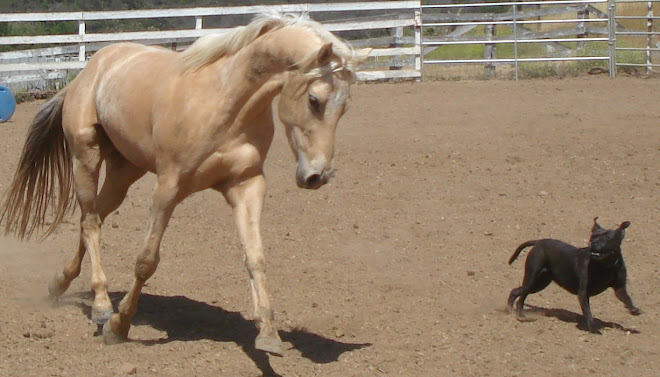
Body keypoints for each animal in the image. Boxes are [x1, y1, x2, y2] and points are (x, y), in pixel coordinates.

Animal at [0, 11, 368, 352]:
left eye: (346, 107)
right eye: (315, 100)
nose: (318, 175)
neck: (224, 101)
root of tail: (91, 69)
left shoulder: (246, 186)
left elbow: (255, 256)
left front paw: (268, 333)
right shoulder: (169, 187)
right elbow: (146, 261)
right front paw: (119, 326)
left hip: (124, 172)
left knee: (92, 219)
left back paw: (59, 284)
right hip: (86, 157)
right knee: (90, 223)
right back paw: (102, 306)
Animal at [506, 217, 640, 332]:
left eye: (607, 238)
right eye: (593, 236)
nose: (593, 243)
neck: (607, 266)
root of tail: (538, 242)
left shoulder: (619, 289)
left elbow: (627, 299)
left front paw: (634, 311)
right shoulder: (583, 292)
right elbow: (588, 312)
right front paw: (593, 328)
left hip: (540, 283)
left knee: (522, 295)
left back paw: (520, 314)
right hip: (533, 278)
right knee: (516, 292)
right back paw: (510, 311)